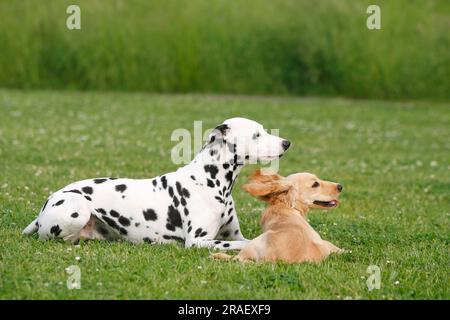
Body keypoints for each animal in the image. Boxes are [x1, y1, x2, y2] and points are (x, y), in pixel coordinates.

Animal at [22, 117, 292, 250]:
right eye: (257, 134)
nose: (287, 142)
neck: (210, 182)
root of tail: (47, 203)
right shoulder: (199, 241)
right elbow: (239, 245)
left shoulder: (235, 233)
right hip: (77, 210)